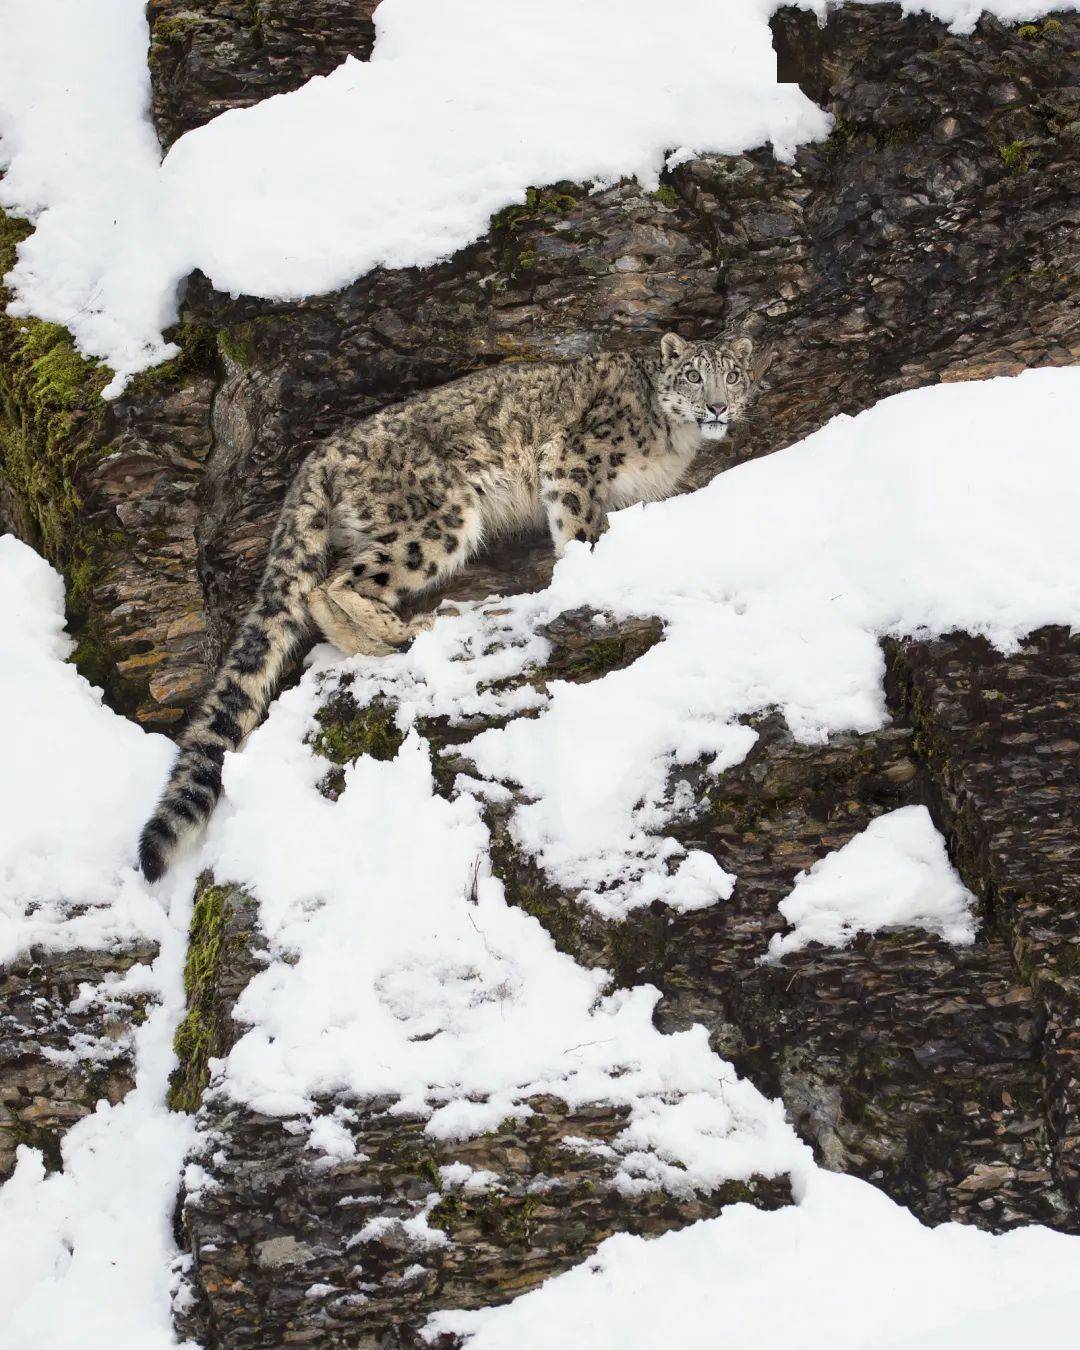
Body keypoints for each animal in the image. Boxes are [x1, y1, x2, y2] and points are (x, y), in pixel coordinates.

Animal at [139, 325, 756, 874]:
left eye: (732, 375)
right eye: (694, 374)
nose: (718, 406)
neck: (672, 441)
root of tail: (320, 457)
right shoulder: (576, 462)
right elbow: (578, 526)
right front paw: (585, 568)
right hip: (437, 518)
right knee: (331, 584)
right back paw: (404, 631)